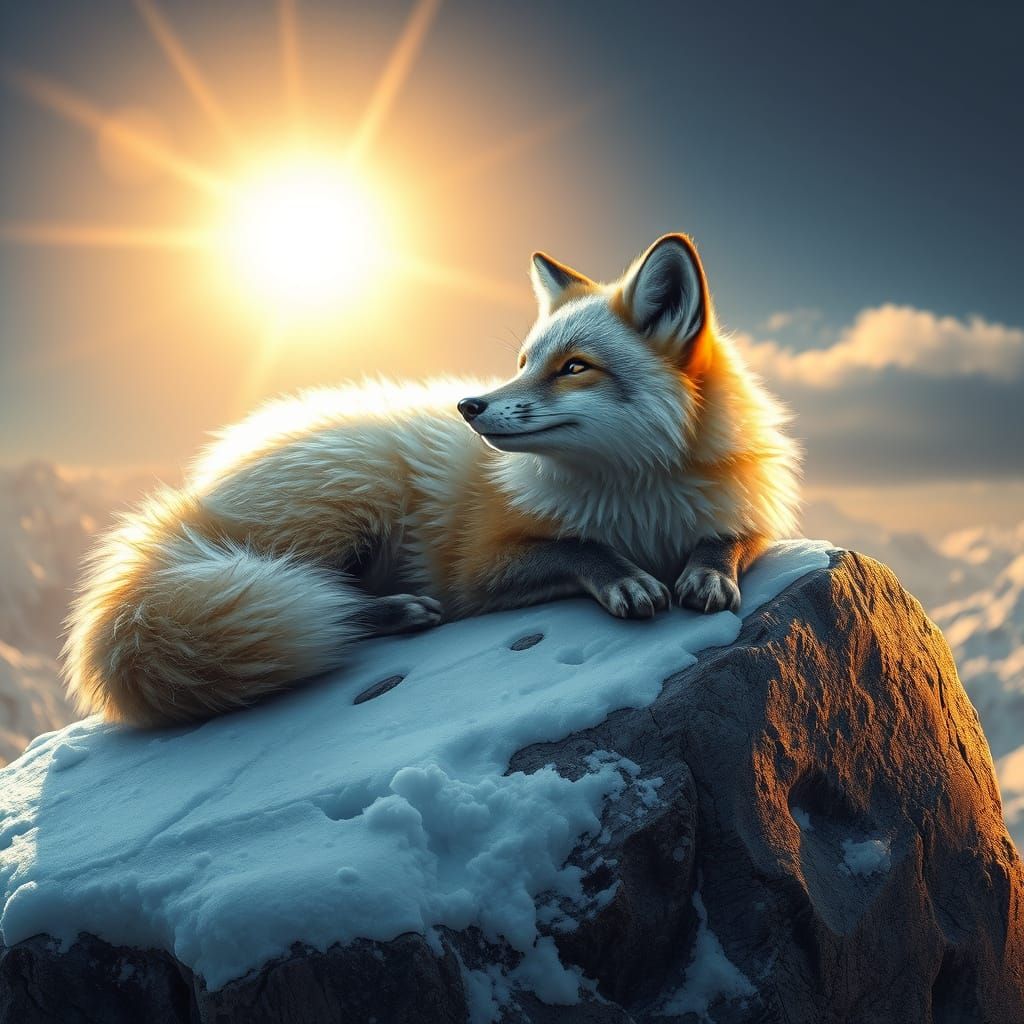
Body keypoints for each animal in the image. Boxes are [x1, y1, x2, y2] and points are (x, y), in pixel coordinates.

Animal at [63, 233, 800, 727]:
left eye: (573, 367)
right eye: (524, 362)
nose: (469, 407)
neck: (638, 499)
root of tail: (189, 501)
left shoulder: (744, 512)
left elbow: (727, 538)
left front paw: (708, 572)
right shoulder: (477, 567)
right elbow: (579, 547)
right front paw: (626, 577)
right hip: (353, 500)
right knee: (320, 600)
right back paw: (389, 613)